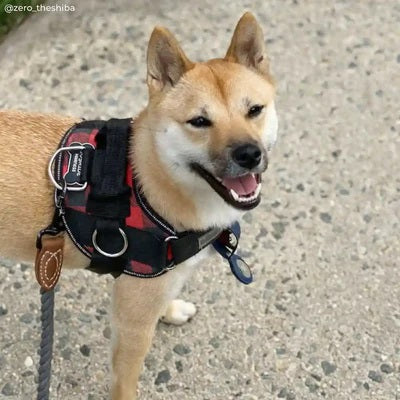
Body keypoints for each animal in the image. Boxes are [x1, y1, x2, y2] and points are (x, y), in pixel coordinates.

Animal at [0, 12, 276, 400]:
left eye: (254, 110)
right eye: (199, 122)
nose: (249, 154)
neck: (152, 177)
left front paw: (171, 310)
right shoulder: (132, 321)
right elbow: (125, 381)